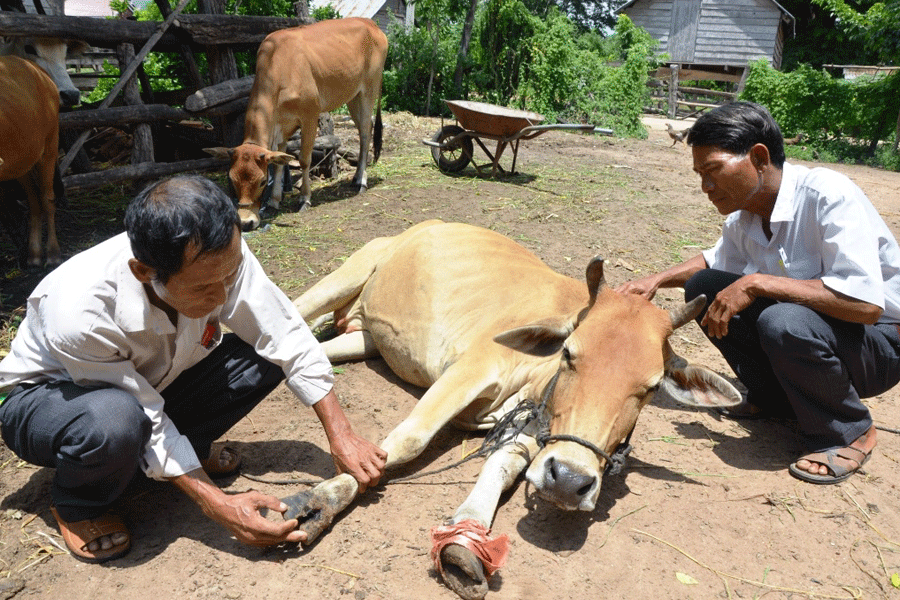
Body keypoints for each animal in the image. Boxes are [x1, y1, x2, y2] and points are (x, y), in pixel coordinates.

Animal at [0, 56, 62, 268]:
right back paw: (34, 254)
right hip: (22, 162)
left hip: (50, 145)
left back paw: (52, 254)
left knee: (46, 198)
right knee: (33, 201)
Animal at [207, 18, 390, 230]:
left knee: (366, 132)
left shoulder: (310, 116)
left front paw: (304, 199)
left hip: (369, 90)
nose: (246, 222)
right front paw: (274, 202)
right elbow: (279, 164)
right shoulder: (280, 126)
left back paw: (362, 181)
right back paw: (355, 178)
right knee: (362, 129)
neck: (279, 67)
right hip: (353, 96)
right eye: (232, 180)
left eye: (262, 181)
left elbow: (303, 159)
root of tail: (370, 23)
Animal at [284, 220, 740, 600]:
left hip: (364, 339)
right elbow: (409, 439)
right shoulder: (470, 368)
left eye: (649, 389)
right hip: (348, 273)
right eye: (569, 354)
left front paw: (465, 537)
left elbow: (502, 467)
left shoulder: (535, 427)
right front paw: (323, 499)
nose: (569, 480)